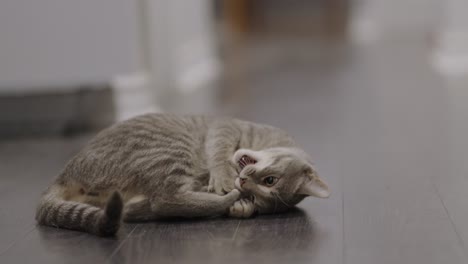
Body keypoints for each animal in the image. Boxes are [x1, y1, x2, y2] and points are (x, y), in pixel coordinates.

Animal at [35, 113, 330, 235]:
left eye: (260, 197)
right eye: (271, 180)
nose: (243, 184)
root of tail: (64, 174)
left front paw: (240, 205)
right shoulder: (223, 129)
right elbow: (219, 154)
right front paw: (225, 180)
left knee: (158, 203)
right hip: (173, 148)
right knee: (165, 200)